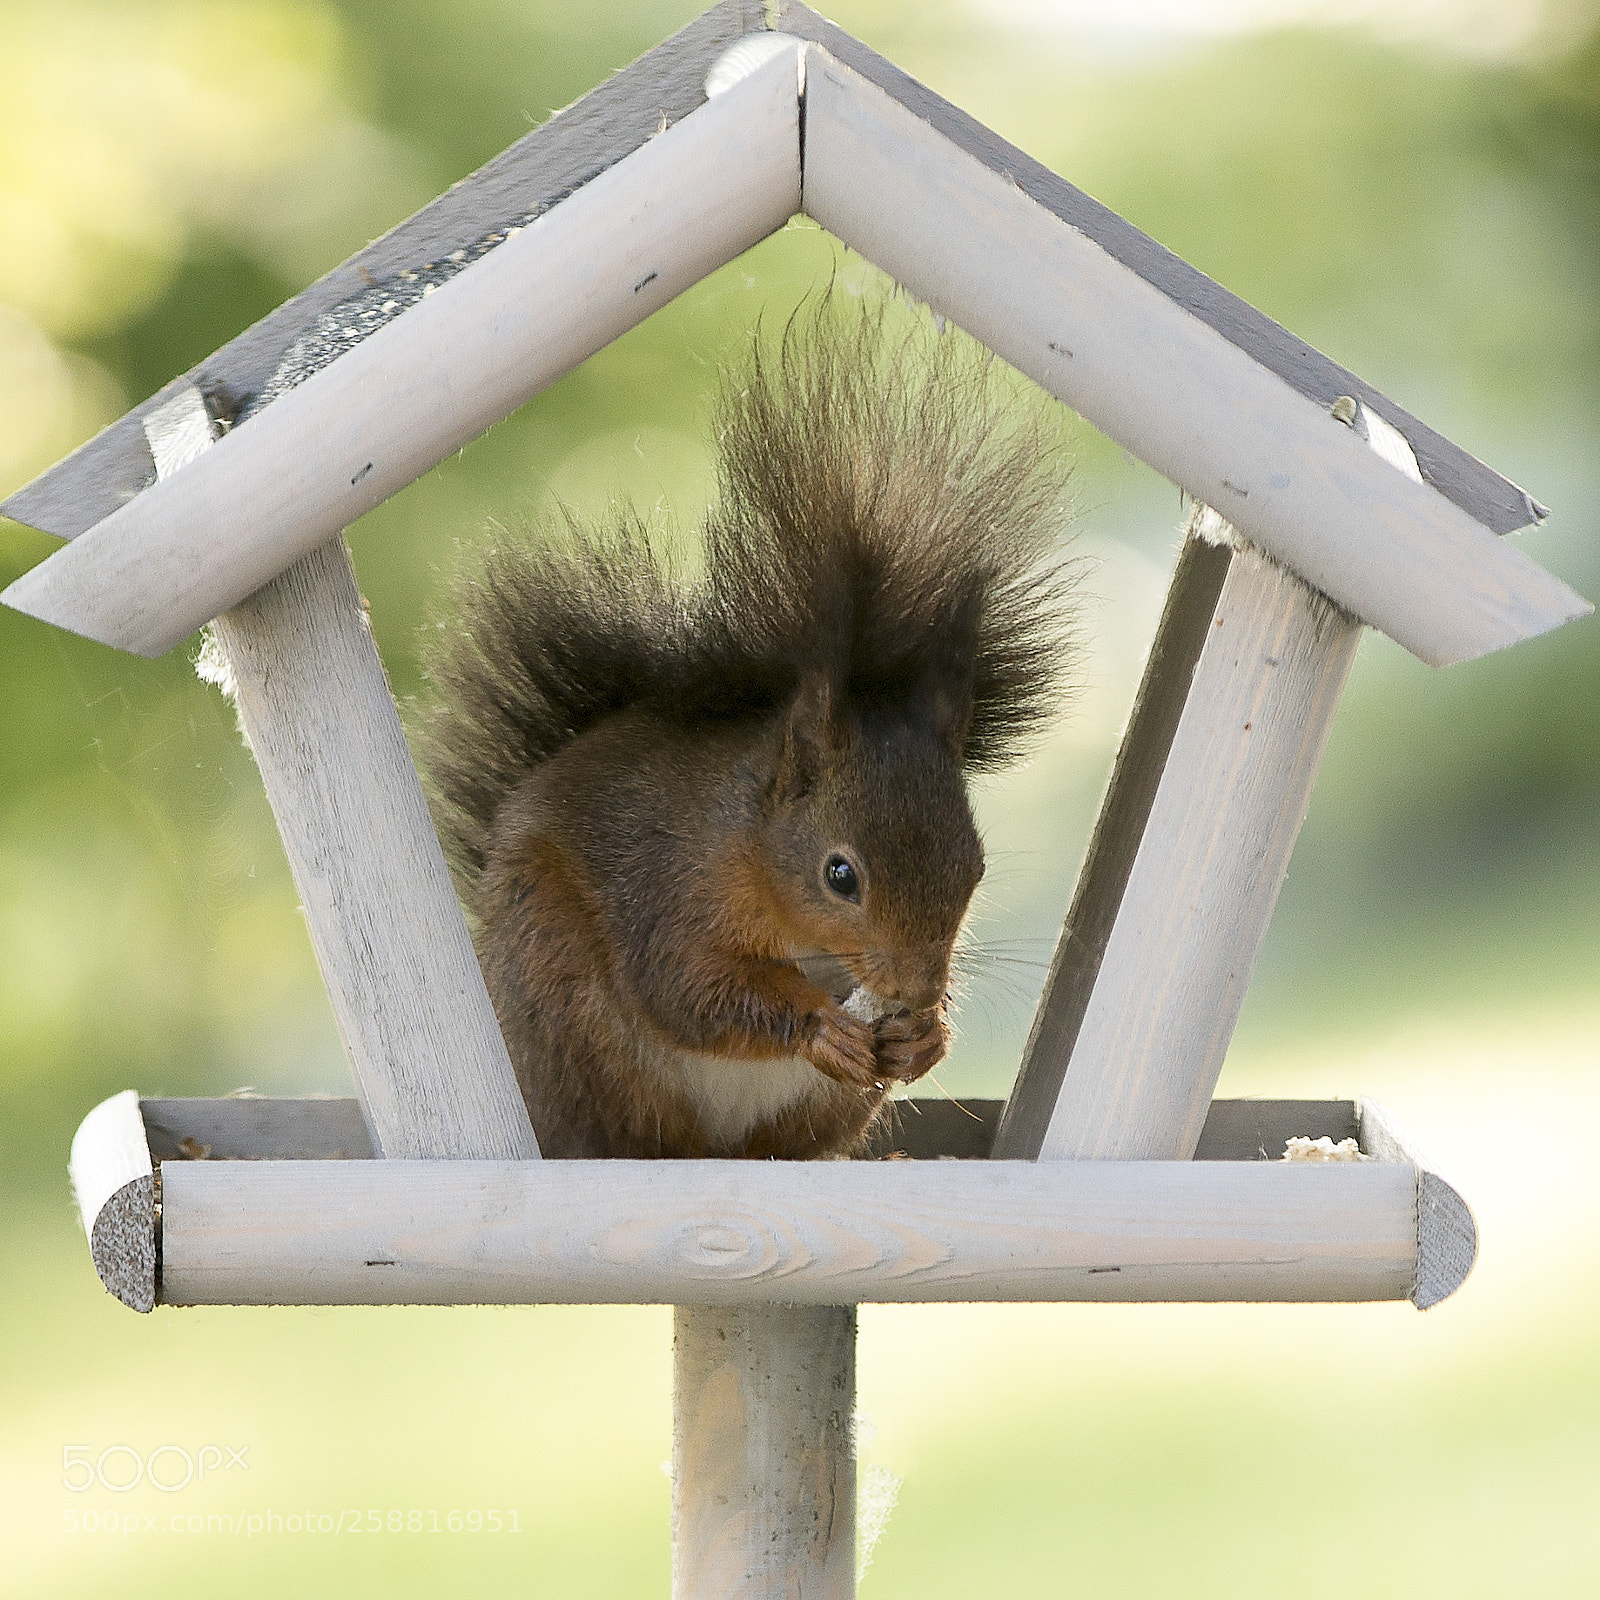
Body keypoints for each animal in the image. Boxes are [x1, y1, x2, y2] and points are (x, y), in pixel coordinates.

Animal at [421, 299, 1077, 1158]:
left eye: (975, 867)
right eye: (841, 875)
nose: (915, 987)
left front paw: (925, 1035)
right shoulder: (670, 885)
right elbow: (691, 987)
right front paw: (822, 1026)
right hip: (564, 997)